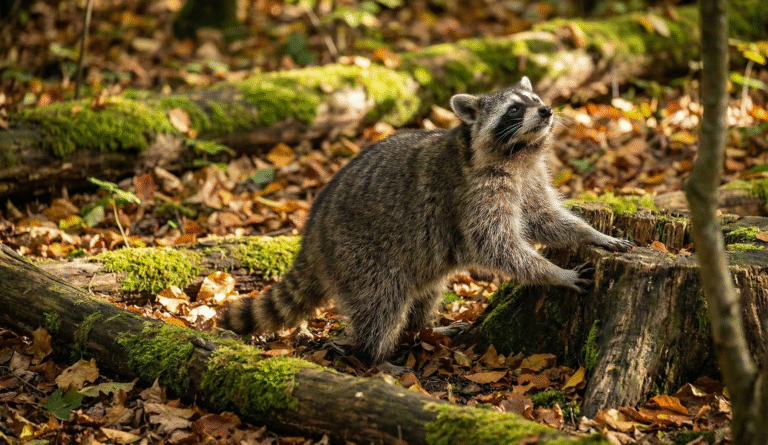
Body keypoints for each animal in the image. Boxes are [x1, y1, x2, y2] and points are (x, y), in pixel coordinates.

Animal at [222, 77, 633, 367]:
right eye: (515, 110)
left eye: (535, 101)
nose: (546, 110)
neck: (518, 154)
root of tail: (312, 234)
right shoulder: (474, 192)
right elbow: (496, 245)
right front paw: (553, 273)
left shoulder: (528, 179)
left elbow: (546, 219)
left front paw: (590, 234)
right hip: (359, 253)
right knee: (383, 301)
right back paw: (374, 357)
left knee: (424, 293)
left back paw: (422, 329)